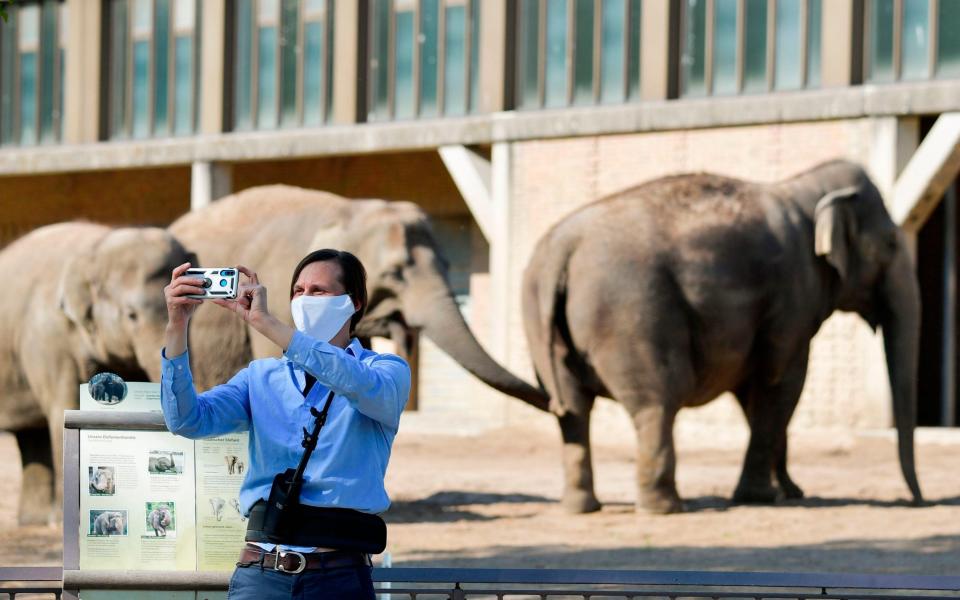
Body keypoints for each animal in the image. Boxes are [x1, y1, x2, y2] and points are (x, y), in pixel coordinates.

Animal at [520, 161, 928, 516]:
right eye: (892, 243)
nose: (919, 502)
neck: (805, 188)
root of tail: (560, 250)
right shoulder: (793, 294)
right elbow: (781, 384)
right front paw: (763, 496)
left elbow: (755, 396)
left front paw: (790, 491)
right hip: (630, 316)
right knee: (657, 402)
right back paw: (664, 508)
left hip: (542, 322)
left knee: (574, 411)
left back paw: (581, 507)